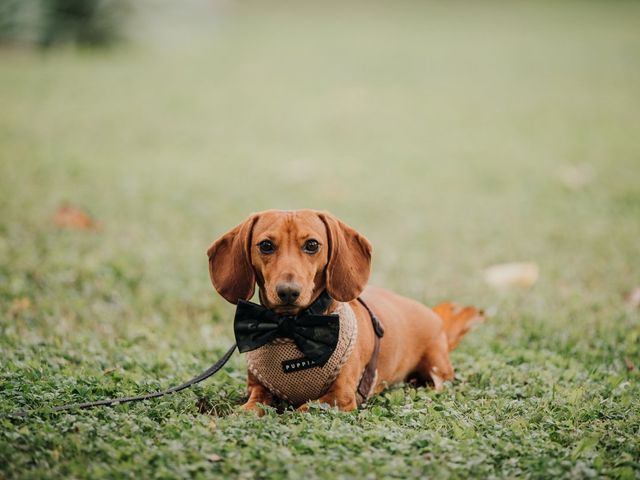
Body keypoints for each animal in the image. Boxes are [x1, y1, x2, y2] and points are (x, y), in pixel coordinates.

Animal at [208, 210, 482, 412]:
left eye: (312, 245)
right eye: (265, 245)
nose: (288, 292)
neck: (292, 328)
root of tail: (436, 318)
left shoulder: (341, 397)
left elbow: (302, 409)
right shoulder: (258, 389)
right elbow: (252, 407)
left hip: (437, 367)